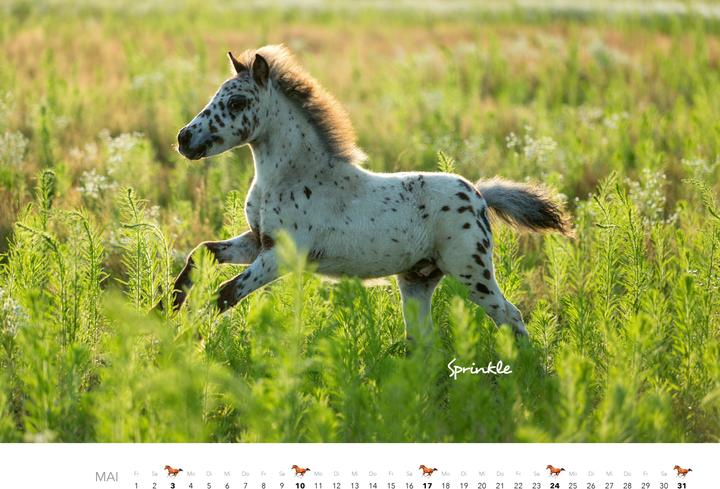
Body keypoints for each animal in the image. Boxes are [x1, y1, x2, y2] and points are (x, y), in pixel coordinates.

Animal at [169, 44, 571, 339]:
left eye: (236, 102)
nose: (184, 139)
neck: (289, 178)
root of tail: (480, 195)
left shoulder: (282, 255)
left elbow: (226, 294)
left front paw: (190, 338)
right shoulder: (257, 242)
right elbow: (200, 253)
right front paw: (166, 307)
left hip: (472, 272)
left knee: (511, 316)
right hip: (417, 280)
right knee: (423, 341)